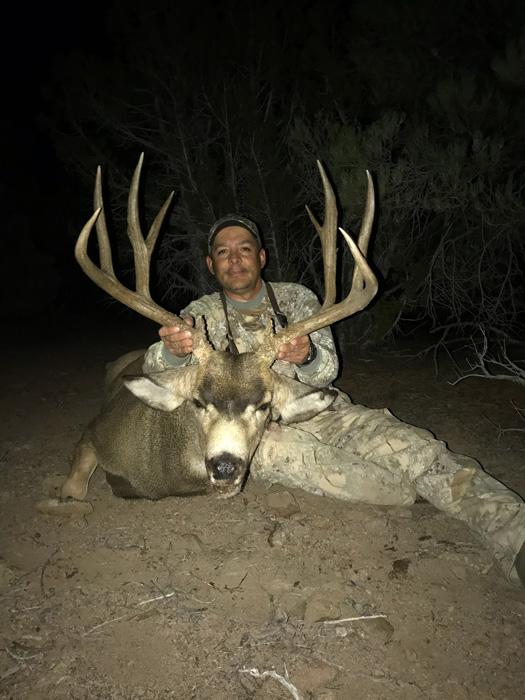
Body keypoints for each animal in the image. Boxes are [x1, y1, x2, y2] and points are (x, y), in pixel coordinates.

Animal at [53, 155, 378, 505]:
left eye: (264, 406)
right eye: (197, 402)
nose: (224, 467)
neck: (160, 475)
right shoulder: (92, 433)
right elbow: (72, 490)